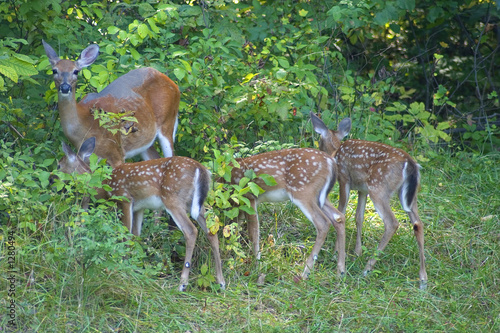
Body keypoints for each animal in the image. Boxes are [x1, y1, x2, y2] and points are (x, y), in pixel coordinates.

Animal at [43, 40, 180, 167]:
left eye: (76, 71)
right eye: (54, 70)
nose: (65, 87)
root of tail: (174, 84)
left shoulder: (115, 153)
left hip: (168, 121)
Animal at [56, 136, 225, 290]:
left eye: (59, 165)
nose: (52, 180)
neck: (105, 186)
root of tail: (200, 169)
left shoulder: (125, 199)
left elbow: (125, 235)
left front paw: (123, 266)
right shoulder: (139, 207)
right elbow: (136, 235)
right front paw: (134, 265)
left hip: (173, 198)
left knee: (191, 231)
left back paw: (182, 283)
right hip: (196, 203)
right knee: (211, 231)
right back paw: (221, 282)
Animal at [226, 148, 344, 278]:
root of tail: (331, 162)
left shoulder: (249, 197)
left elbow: (252, 232)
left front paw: (257, 266)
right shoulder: (240, 206)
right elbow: (234, 228)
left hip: (303, 191)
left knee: (323, 223)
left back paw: (305, 272)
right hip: (320, 196)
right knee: (339, 217)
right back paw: (340, 270)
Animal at [310, 112, 428, 288]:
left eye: (319, 140)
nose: (320, 153)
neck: (336, 151)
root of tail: (410, 163)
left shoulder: (344, 178)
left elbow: (341, 210)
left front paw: (337, 251)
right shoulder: (362, 189)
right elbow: (359, 217)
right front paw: (357, 251)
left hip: (379, 188)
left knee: (392, 223)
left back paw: (367, 269)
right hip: (409, 195)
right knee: (418, 224)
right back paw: (423, 279)